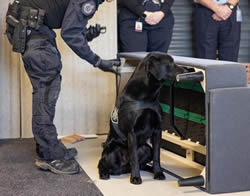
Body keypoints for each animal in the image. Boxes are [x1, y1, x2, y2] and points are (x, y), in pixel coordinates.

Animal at [97, 51, 186, 184]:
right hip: (112, 150)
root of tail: (123, 169)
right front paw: (135, 177)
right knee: (102, 163)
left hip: (146, 149)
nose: (186, 70)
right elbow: (134, 157)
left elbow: (157, 155)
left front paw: (158, 173)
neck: (146, 97)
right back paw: (104, 173)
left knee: (143, 163)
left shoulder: (157, 130)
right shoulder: (132, 132)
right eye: (170, 63)